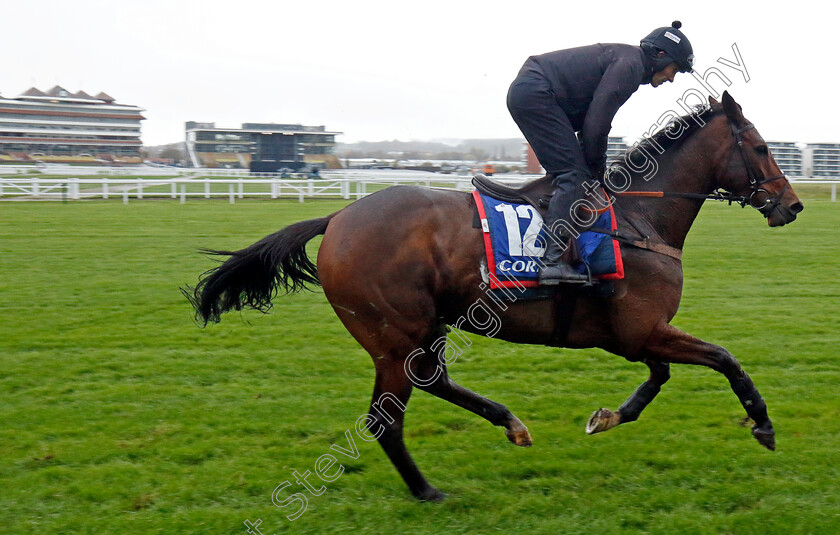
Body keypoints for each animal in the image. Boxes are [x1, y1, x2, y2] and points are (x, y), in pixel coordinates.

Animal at [187, 92, 804, 502]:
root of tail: (337, 217)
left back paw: (509, 423)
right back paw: (427, 491)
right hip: (393, 335)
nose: (793, 206)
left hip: (422, 327)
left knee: (431, 380)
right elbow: (725, 360)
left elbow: (660, 376)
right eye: (760, 146)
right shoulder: (644, 329)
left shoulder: (634, 335)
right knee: (387, 417)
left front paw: (606, 416)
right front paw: (764, 425)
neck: (639, 218)